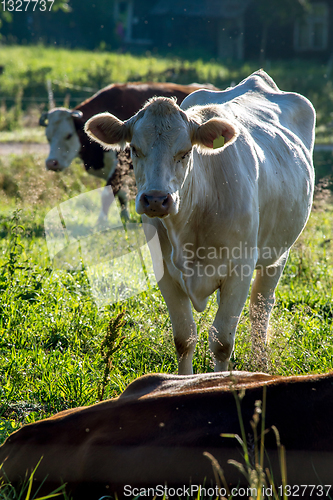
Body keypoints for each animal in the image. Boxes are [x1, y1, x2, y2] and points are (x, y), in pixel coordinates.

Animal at [39, 83, 215, 220]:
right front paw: (124, 217)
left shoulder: (119, 167)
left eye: (68, 135)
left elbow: (109, 193)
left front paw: (102, 221)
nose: (51, 163)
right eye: (47, 136)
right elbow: (121, 194)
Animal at [83, 71, 314, 376]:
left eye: (184, 152)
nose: (156, 200)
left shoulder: (240, 269)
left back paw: (260, 363)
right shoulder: (165, 272)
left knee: (260, 307)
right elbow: (184, 337)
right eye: (134, 149)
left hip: (278, 253)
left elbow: (222, 341)